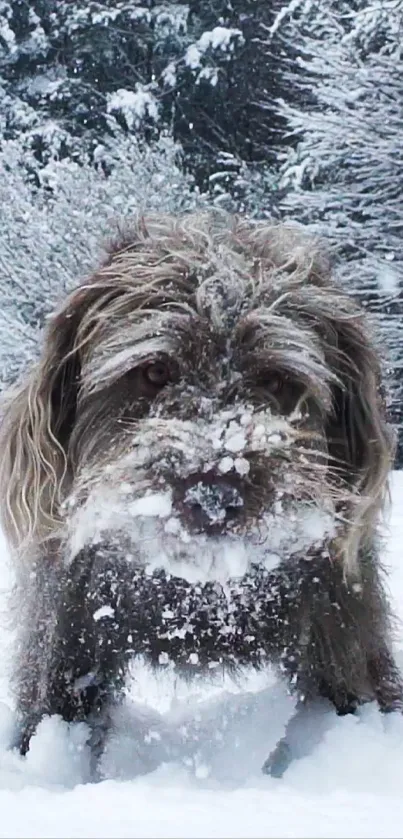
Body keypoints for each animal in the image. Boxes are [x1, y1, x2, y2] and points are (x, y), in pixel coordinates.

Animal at [0, 213, 403, 776]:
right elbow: (52, 702)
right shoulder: (65, 620)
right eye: (153, 372)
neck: (200, 592)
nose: (214, 493)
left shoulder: (342, 612)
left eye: (275, 380)